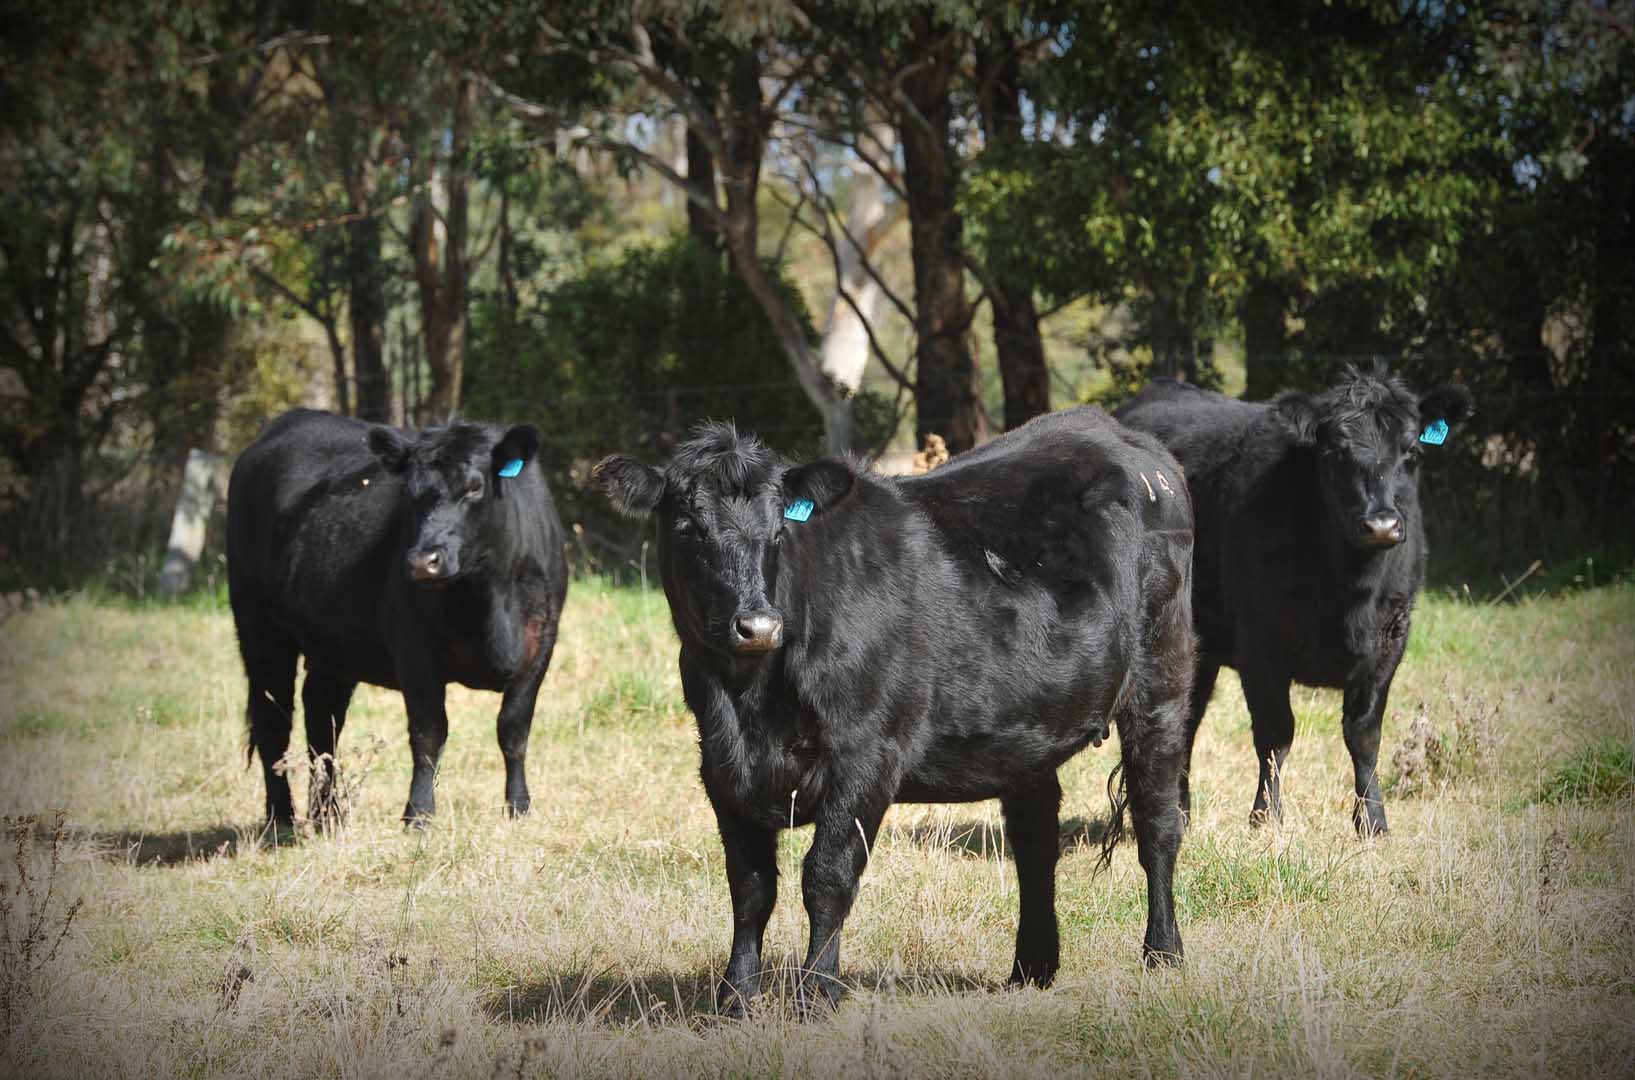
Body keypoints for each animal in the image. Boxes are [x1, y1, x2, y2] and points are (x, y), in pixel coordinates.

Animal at [225, 408, 568, 820]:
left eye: (474, 487)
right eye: (409, 492)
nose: (423, 561)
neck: (490, 599)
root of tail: (290, 420)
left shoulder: (540, 645)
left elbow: (513, 730)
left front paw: (519, 807)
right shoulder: (414, 651)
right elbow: (429, 733)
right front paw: (418, 813)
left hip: (335, 643)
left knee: (322, 715)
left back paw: (327, 815)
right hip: (258, 627)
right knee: (273, 720)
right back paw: (282, 818)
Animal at [595, 408, 1196, 1013]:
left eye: (779, 531)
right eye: (686, 528)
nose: (758, 626)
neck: (747, 702)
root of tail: (1115, 432)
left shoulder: (867, 755)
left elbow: (826, 877)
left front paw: (818, 994)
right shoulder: (720, 767)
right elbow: (750, 888)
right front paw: (735, 998)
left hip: (1163, 683)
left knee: (1158, 821)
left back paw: (1163, 953)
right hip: (1028, 726)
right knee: (1035, 838)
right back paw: (1032, 968)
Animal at [1118, 362, 1478, 833]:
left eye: (1412, 451)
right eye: (1334, 454)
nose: (1381, 524)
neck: (1350, 596)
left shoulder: (1390, 642)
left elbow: (1364, 735)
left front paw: (1372, 820)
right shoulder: (1260, 646)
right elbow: (1276, 734)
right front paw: (1266, 816)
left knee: (1186, 720)